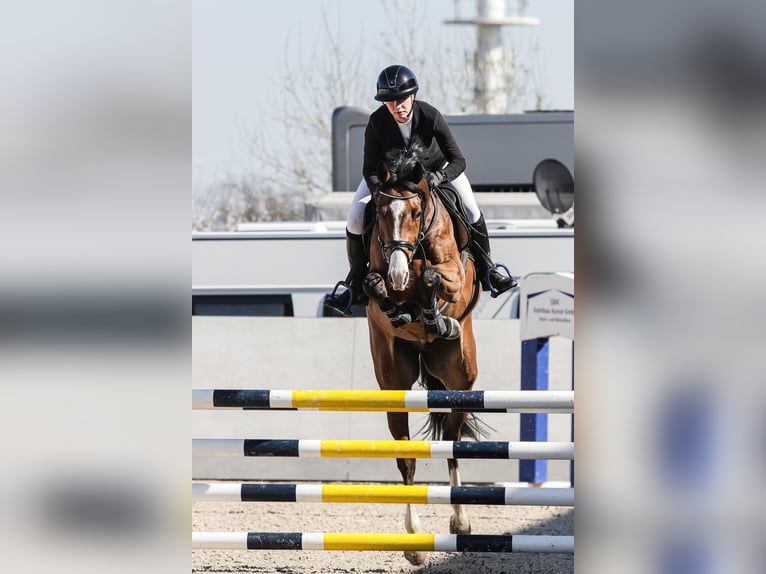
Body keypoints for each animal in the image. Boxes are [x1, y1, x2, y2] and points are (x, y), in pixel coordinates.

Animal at [361, 143, 483, 566]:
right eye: (381, 212)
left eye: (416, 213)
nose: (399, 274)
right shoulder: (377, 275)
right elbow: (374, 285)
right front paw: (400, 306)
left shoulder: (454, 274)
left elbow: (433, 276)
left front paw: (432, 312)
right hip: (393, 384)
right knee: (407, 457)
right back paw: (414, 542)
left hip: (461, 379)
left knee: (452, 443)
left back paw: (461, 522)